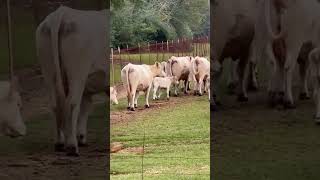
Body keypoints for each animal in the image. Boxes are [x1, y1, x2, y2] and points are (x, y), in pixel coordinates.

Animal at [35, 6, 107, 155]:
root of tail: (62, 12)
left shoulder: (87, 89)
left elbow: (86, 107)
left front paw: (82, 137)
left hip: (47, 69)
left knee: (55, 104)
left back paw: (60, 143)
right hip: (78, 70)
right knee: (72, 103)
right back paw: (72, 146)